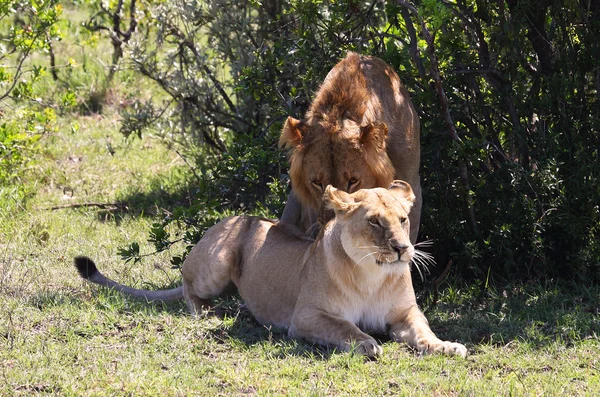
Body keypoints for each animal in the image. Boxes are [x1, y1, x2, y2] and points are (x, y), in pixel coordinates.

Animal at [75, 183, 466, 358]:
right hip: (217, 261)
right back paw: (209, 312)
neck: (372, 273)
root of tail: (234, 216)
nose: (402, 248)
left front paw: (446, 346)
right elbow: (344, 327)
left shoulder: (405, 313)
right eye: (374, 221)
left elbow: (423, 330)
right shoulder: (306, 317)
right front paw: (366, 342)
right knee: (186, 284)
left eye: (402, 219)